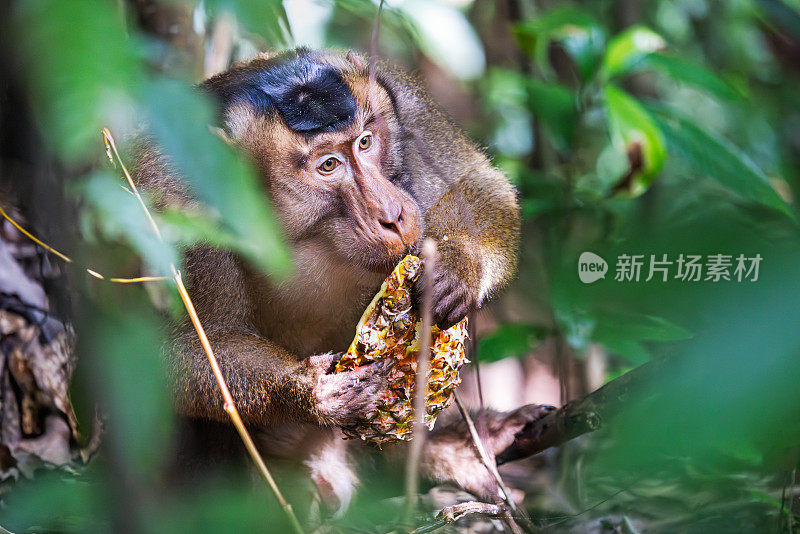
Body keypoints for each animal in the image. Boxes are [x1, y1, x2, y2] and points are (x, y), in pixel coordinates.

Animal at [131, 48, 552, 516]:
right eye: (328, 165)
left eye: (365, 142)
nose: (393, 215)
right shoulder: (173, 197)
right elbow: (179, 349)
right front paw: (309, 392)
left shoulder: (407, 105)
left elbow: (480, 183)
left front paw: (457, 267)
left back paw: (446, 450)